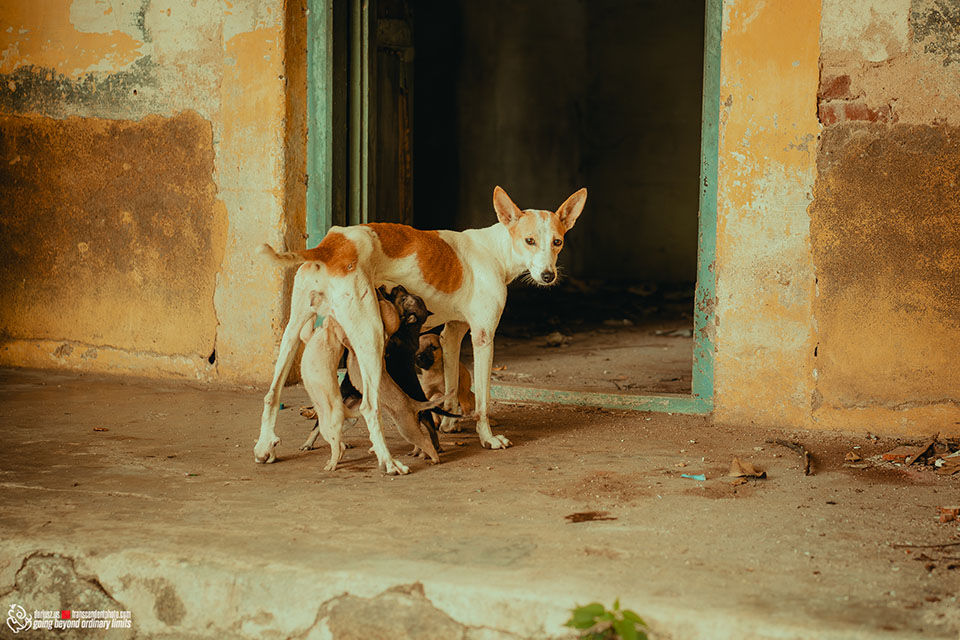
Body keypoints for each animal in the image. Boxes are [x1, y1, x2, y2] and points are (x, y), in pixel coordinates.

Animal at [255, 185, 584, 470]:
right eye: (529, 241)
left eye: (557, 242)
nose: (548, 276)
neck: (496, 250)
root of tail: (332, 246)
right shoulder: (483, 337)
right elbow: (484, 400)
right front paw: (488, 438)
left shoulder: (451, 335)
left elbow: (451, 384)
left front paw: (449, 422)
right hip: (371, 338)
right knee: (369, 407)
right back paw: (388, 462)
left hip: (292, 332)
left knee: (272, 394)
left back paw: (264, 446)